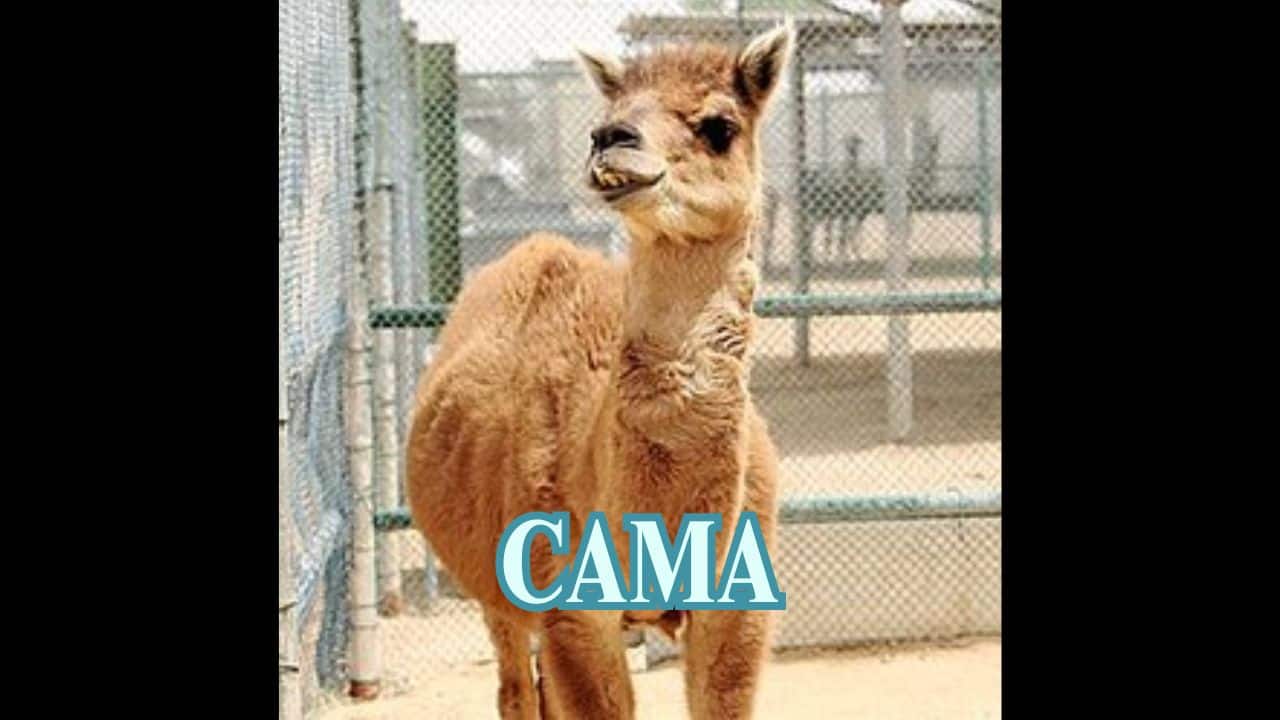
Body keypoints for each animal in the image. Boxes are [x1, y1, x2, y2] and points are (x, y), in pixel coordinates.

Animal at [406, 23, 793, 719]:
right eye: (610, 113)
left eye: (719, 125)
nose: (611, 138)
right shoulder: (571, 612)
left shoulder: (737, 613)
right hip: (494, 587)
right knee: (514, 688)